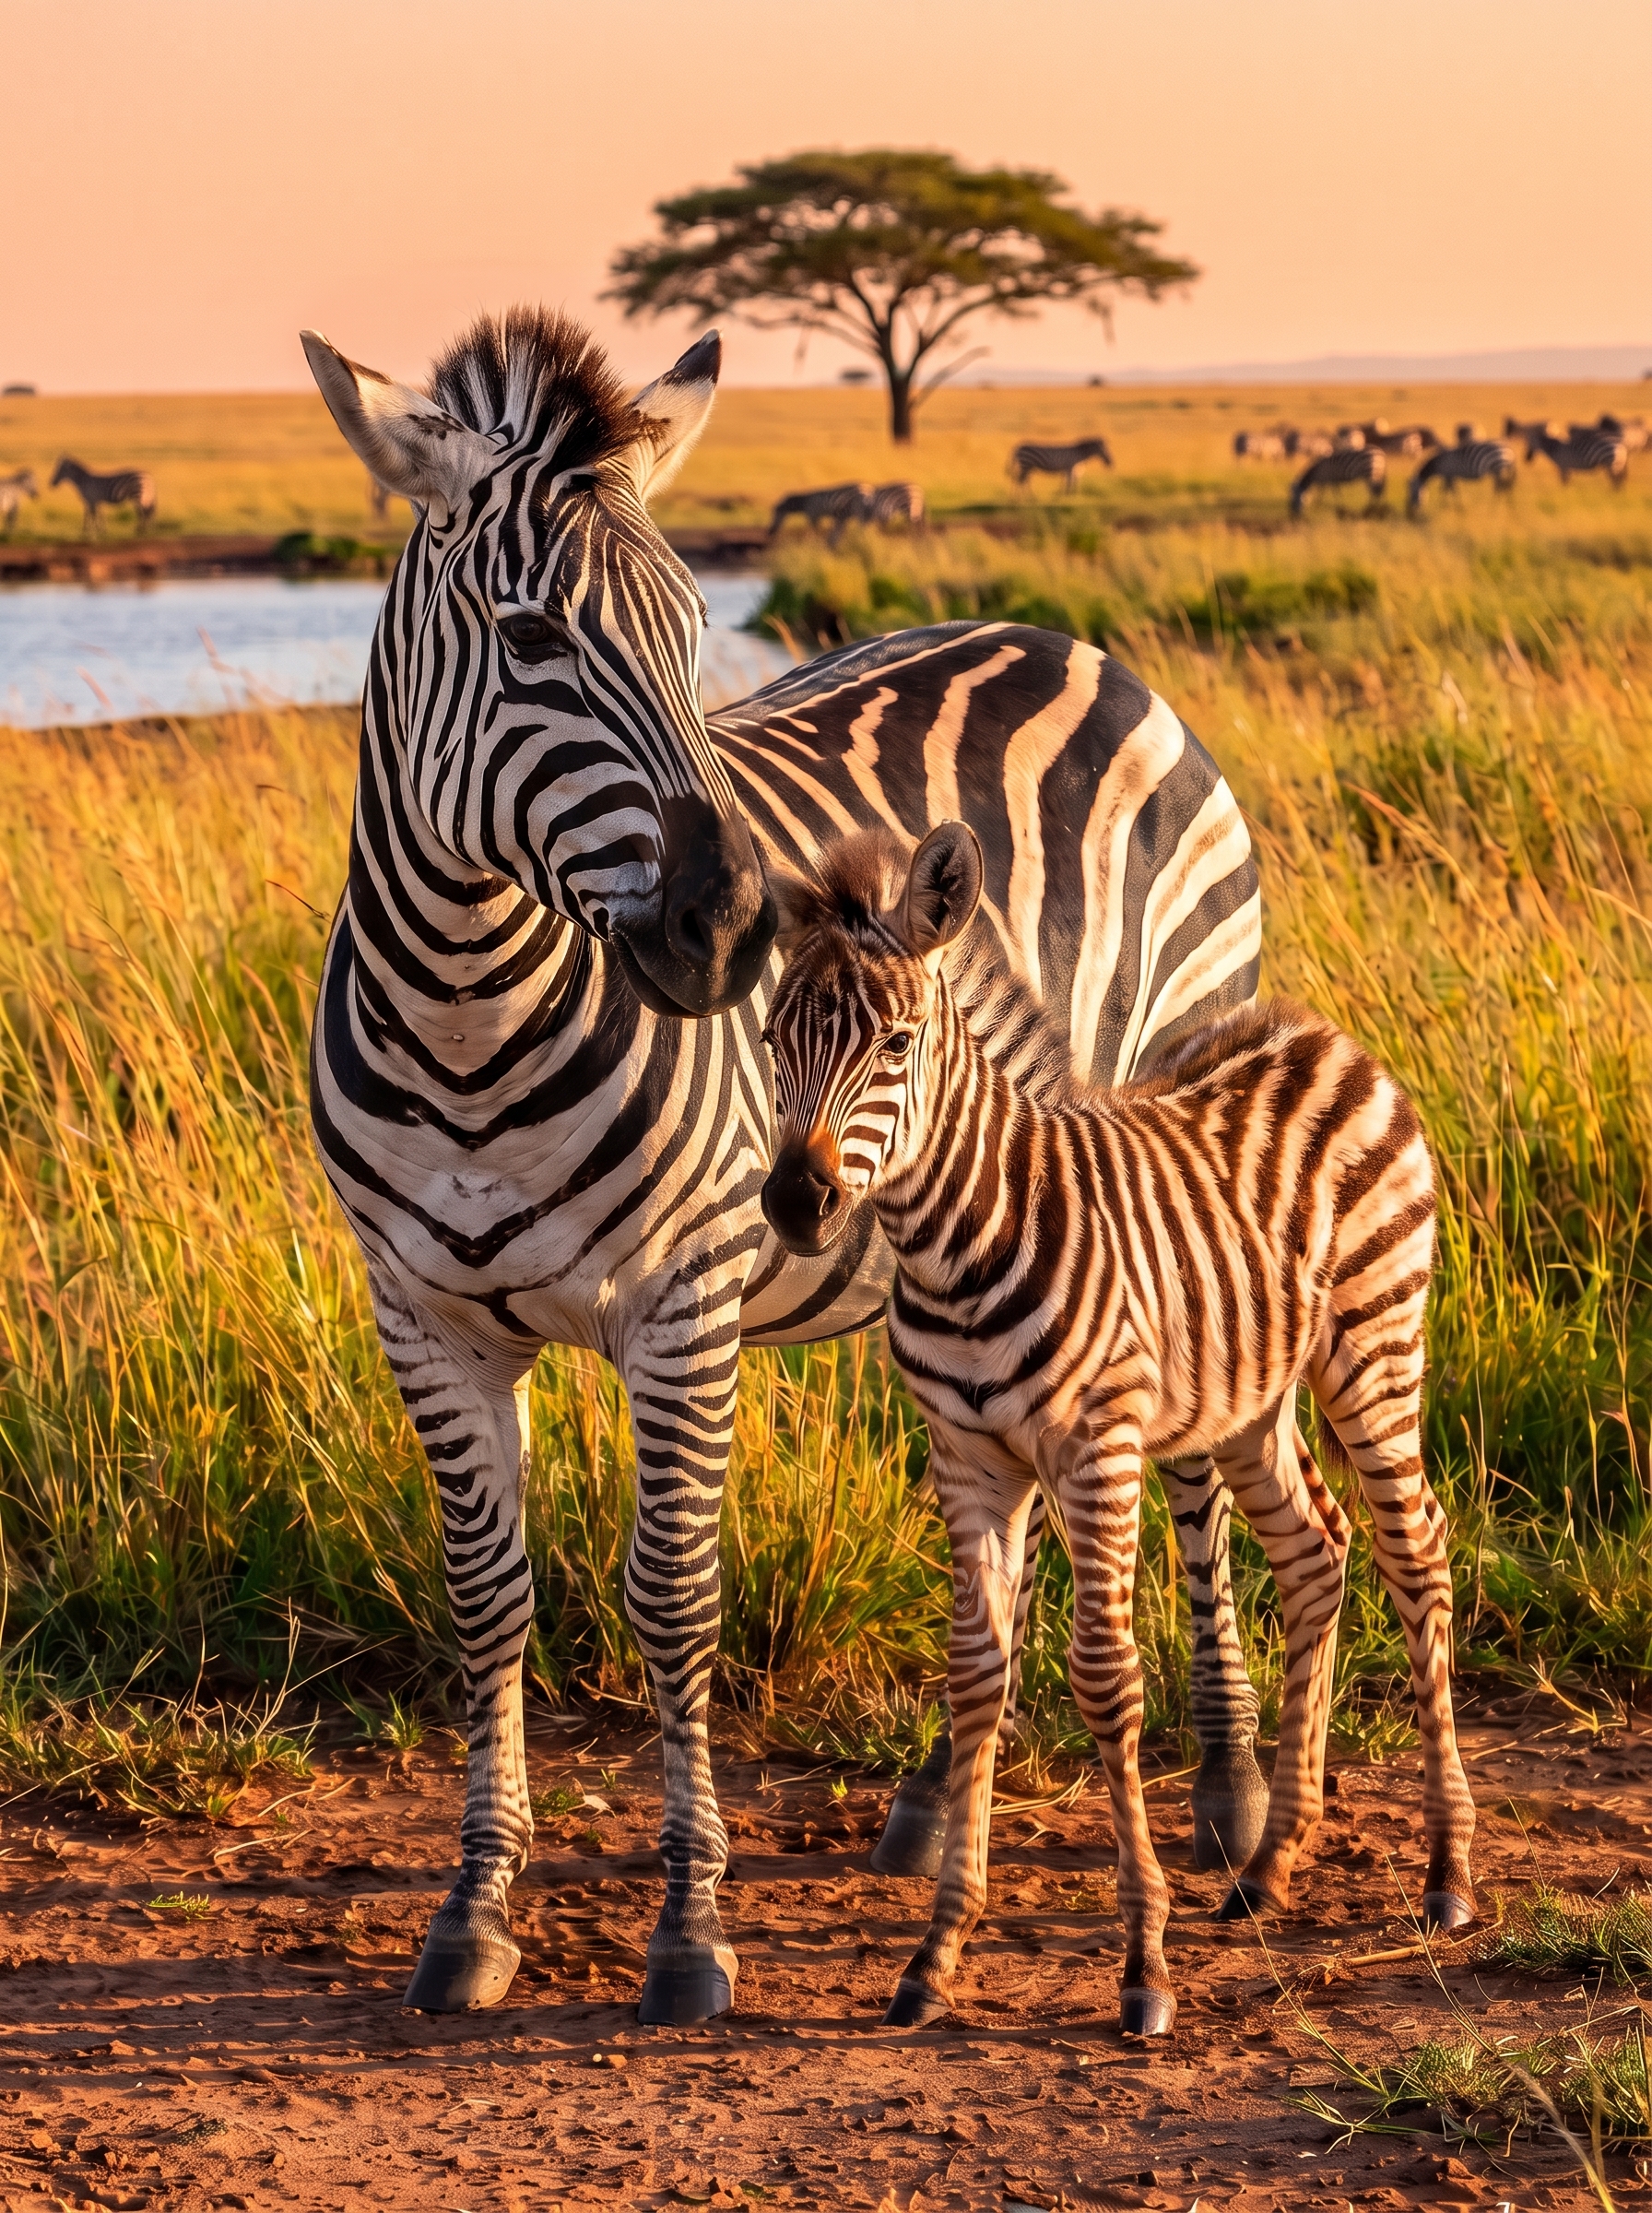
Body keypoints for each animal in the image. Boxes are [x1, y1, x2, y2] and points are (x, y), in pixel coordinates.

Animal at [300, 305, 1264, 2028]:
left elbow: (671, 1597)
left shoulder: (681, 1305)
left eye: (698, 632)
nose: (734, 927)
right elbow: (486, 1601)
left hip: (1172, 1108)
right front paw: (476, 1907)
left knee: (1201, 1462)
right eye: (528, 639)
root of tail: (1068, 642)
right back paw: (932, 1804)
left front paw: (691, 1930)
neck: (468, 1021)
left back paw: (1228, 1802)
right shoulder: (422, 1316)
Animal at [759, 823, 1476, 2036]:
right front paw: (936, 1953)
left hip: (1375, 1346)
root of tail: (1323, 1036)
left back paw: (1447, 1875)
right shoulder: (968, 1462)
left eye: (896, 1043)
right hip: (1249, 1396)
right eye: (772, 1039)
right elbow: (975, 1676)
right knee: (1314, 1553)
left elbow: (1105, 1676)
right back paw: (1270, 1866)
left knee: (1413, 1553)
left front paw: (1143, 1965)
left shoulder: (1095, 1453)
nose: (795, 1202)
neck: (958, 1241)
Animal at [1505, 417, 1628, 486]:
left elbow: (1564, 484)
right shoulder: (1567, 468)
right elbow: (1567, 483)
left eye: (1529, 442)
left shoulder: (1563, 467)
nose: (1526, 459)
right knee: (1619, 480)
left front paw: (1564, 497)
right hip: (1615, 464)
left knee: (1616, 480)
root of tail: (1621, 444)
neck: (1555, 448)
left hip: (1611, 463)